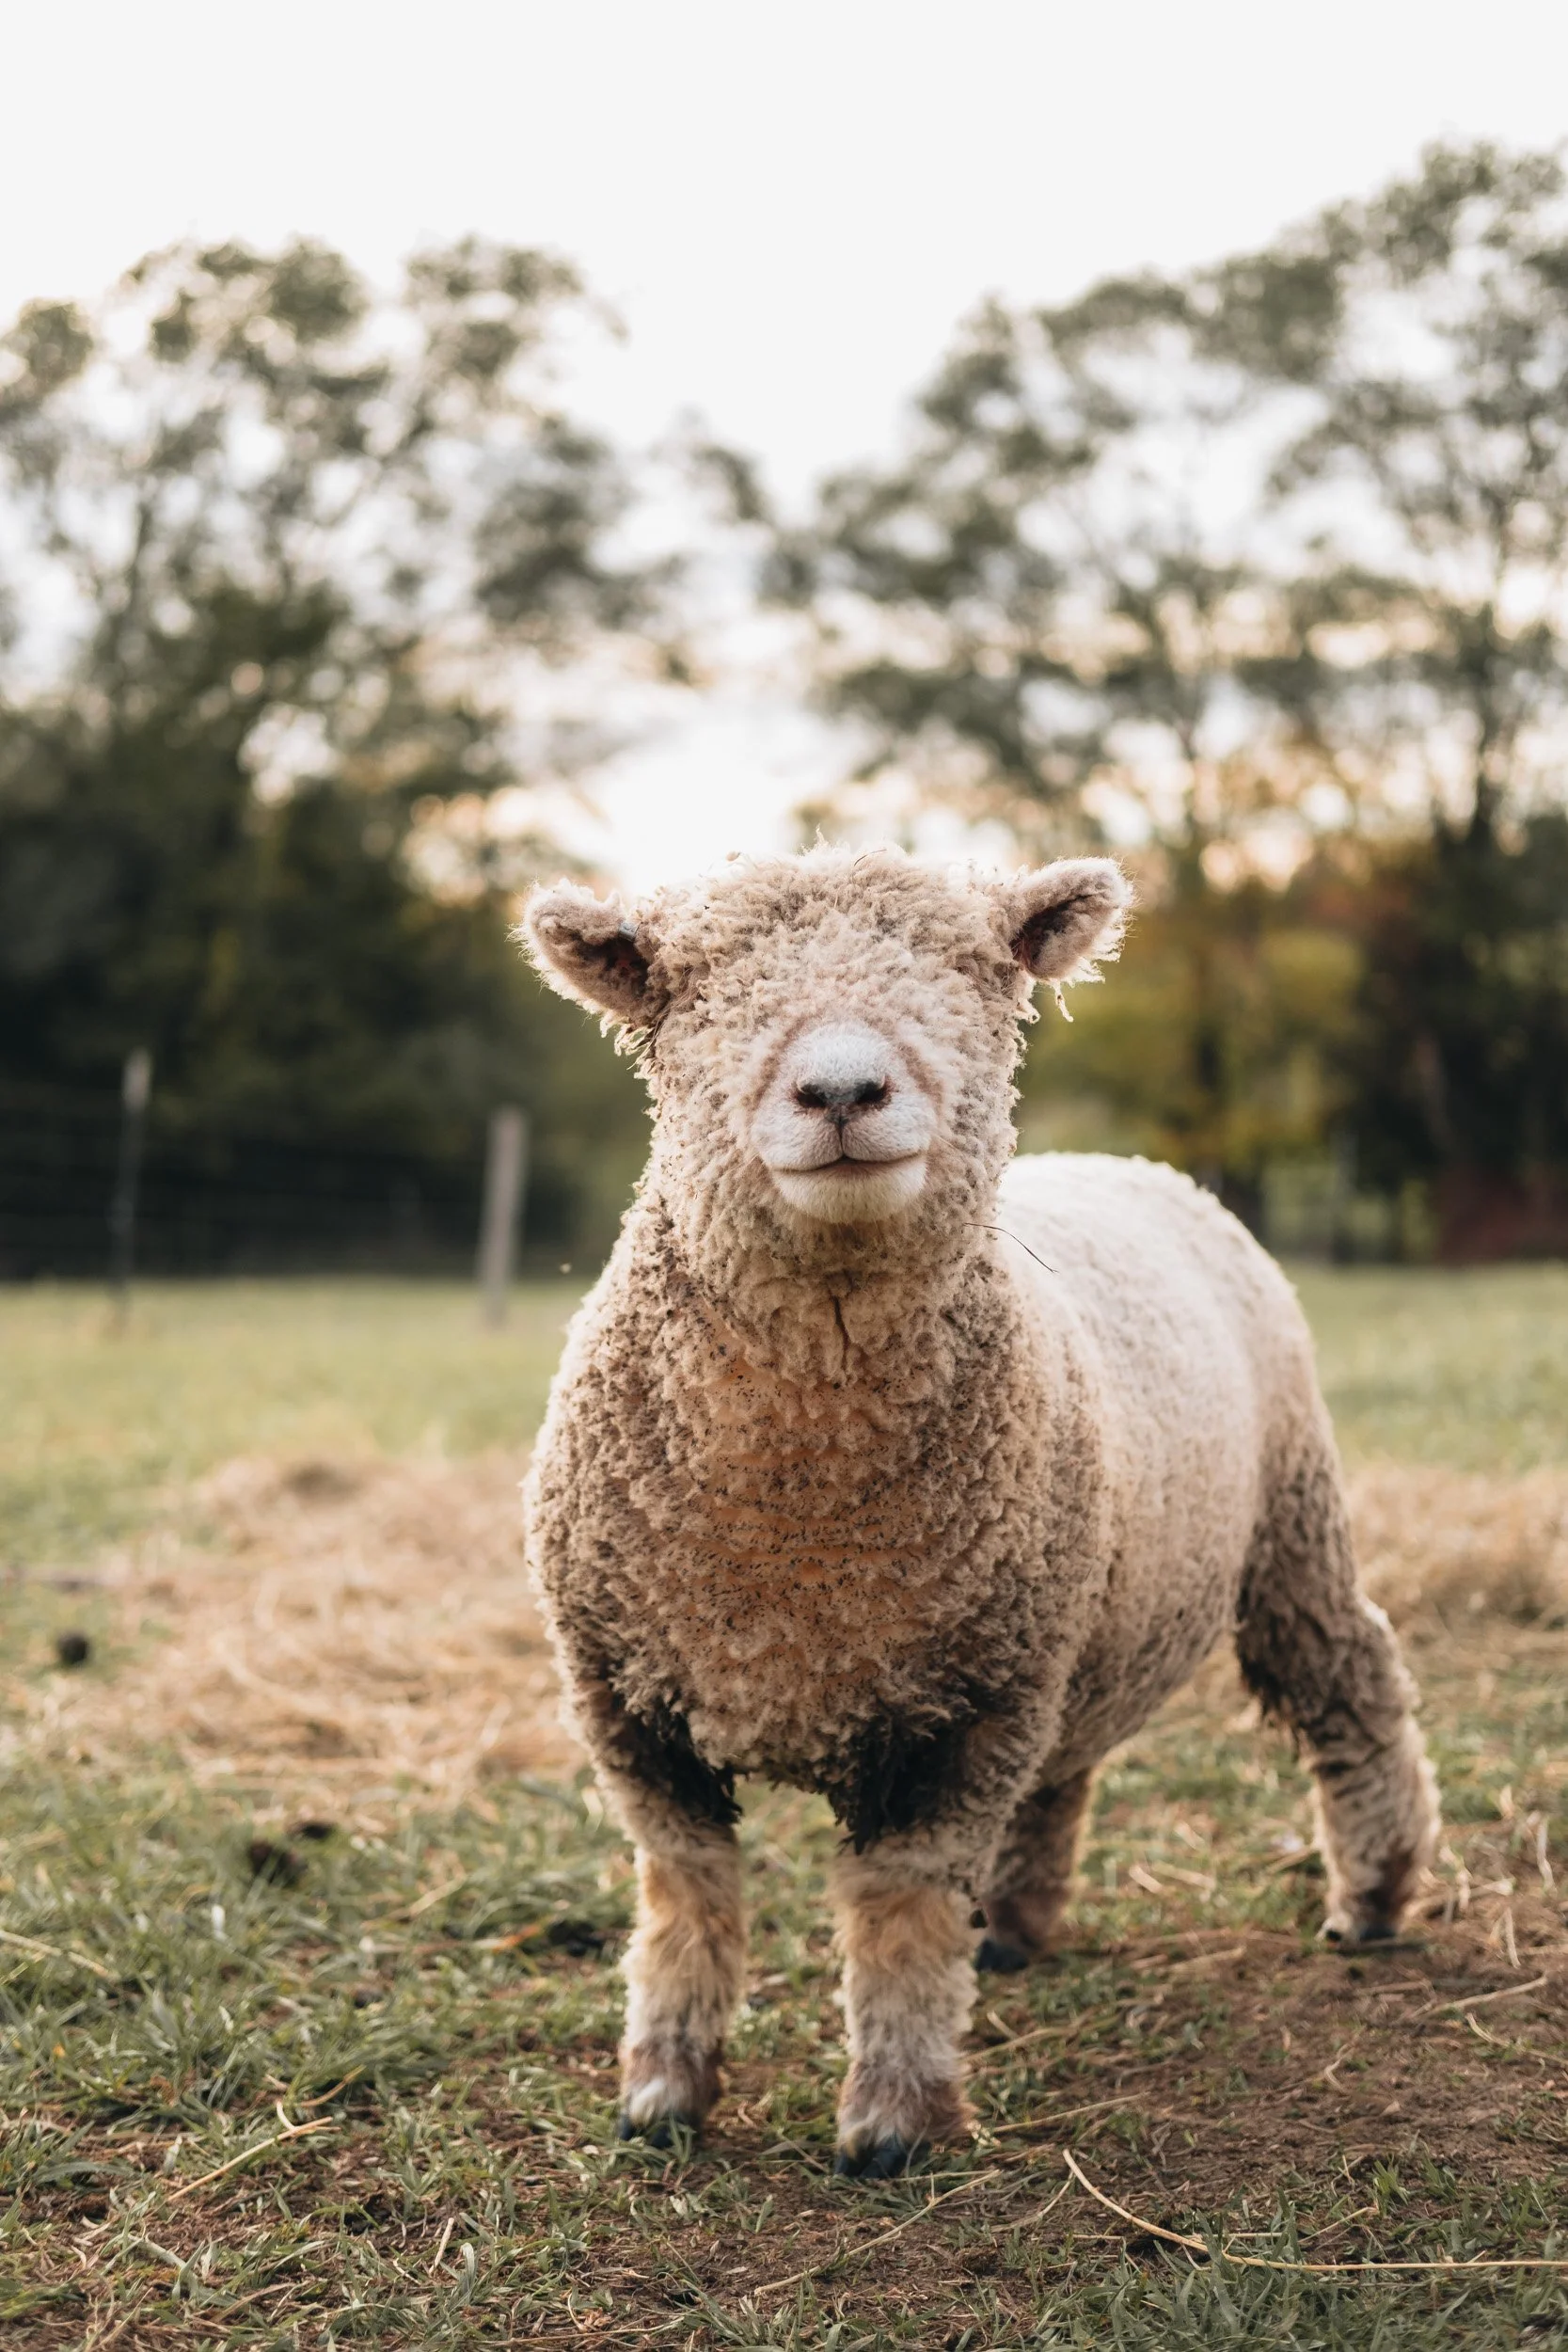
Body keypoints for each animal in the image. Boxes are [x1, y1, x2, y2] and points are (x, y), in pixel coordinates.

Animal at [519, 846, 1439, 2178]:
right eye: (688, 986)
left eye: (975, 966)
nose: (841, 1089)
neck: (797, 1536)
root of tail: (1120, 1162)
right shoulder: (627, 1697)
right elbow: (688, 1892)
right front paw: (662, 2090)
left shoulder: (962, 1710)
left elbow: (899, 1904)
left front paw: (895, 2116)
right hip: (1071, 1610)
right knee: (1066, 1765)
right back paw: (1012, 1924)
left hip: (1280, 1519)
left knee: (1347, 1673)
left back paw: (1370, 1895)